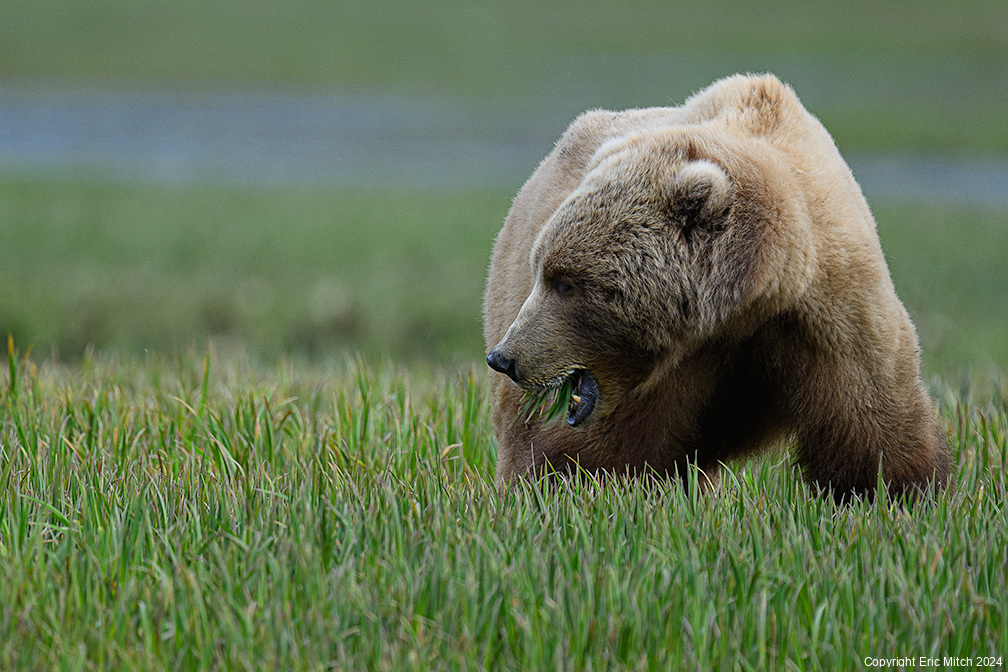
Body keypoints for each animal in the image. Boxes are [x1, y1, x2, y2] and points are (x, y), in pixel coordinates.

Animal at [483, 76, 947, 501]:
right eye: (546, 273)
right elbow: (594, 454)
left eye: (567, 283)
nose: (504, 358)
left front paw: (899, 492)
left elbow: (873, 423)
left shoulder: (832, 306)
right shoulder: (670, 374)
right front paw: (568, 486)